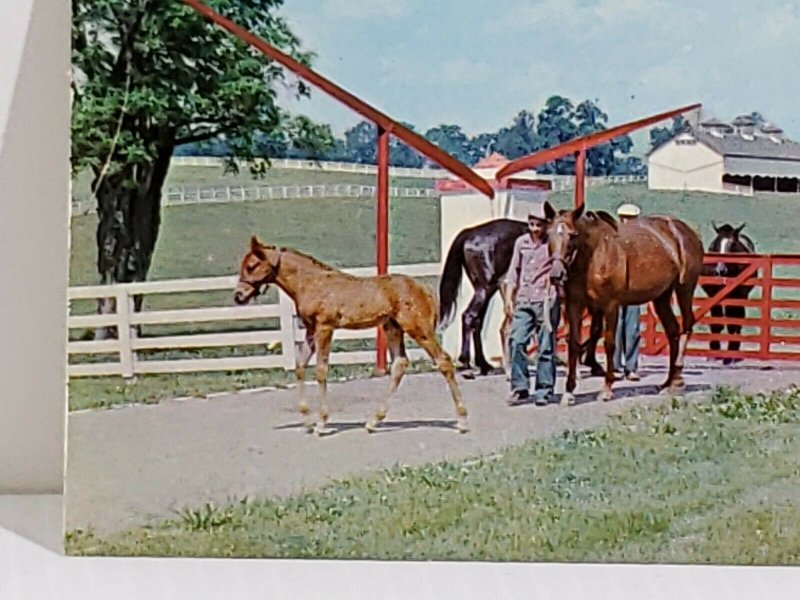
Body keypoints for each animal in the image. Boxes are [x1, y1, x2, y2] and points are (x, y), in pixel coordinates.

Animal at [231, 237, 468, 438]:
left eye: (251, 266)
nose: (238, 296)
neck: (310, 283)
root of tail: (424, 289)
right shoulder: (310, 331)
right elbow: (299, 366)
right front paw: (307, 421)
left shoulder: (325, 327)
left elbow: (321, 371)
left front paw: (321, 424)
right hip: (392, 328)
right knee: (400, 364)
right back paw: (373, 421)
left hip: (418, 328)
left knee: (443, 361)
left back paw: (462, 421)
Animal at [548, 202, 704, 404]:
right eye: (549, 233)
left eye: (573, 234)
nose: (556, 274)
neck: (594, 255)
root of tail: (687, 232)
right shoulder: (574, 305)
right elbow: (574, 343)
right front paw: (569, 392)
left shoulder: (610, 306)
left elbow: (609, 343)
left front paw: (606, 389)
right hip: (662, 297)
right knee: (673, 332)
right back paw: (668, 383)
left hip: (684, 288)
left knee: (686, 327)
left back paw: (677, 380)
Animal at [700, 220, 756, 360]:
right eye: (715, 245)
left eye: (733, 245)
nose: (721, 270)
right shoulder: (713, 295)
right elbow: (716, 323)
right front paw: (714, 350)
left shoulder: (736, 296)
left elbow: (733, 323)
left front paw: (730, 353)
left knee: (737, 319)